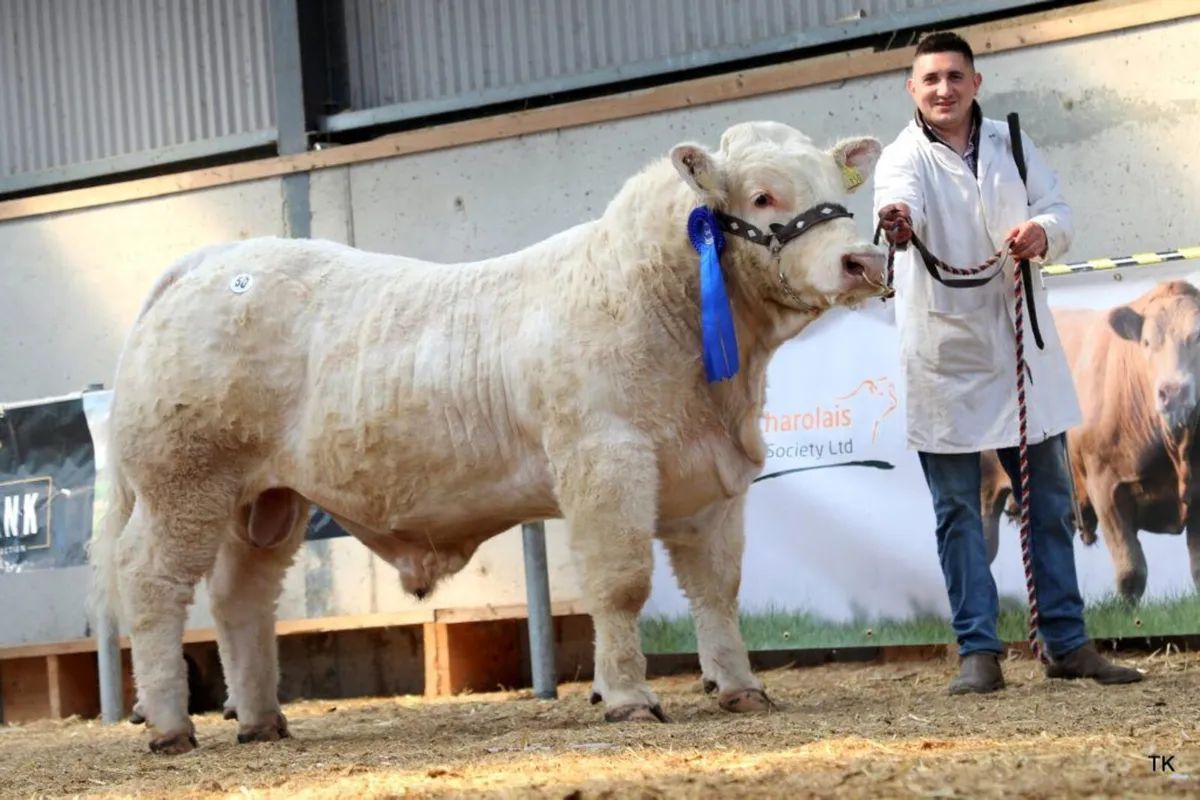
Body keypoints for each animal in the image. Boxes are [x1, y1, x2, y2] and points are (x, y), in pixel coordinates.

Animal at [85, 120, 892, 755]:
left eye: (838, 188)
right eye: (762, 196)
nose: (864, 260)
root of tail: (214, 262)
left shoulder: (711, 477)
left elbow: (718, 589)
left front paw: (740, 686)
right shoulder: (605, 459)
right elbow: (622, 583)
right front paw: (628, 697)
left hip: (266, 499)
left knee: (241, 596)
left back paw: (260, 720)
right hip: (182, 482)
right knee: (152, 583)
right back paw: (171, 726)